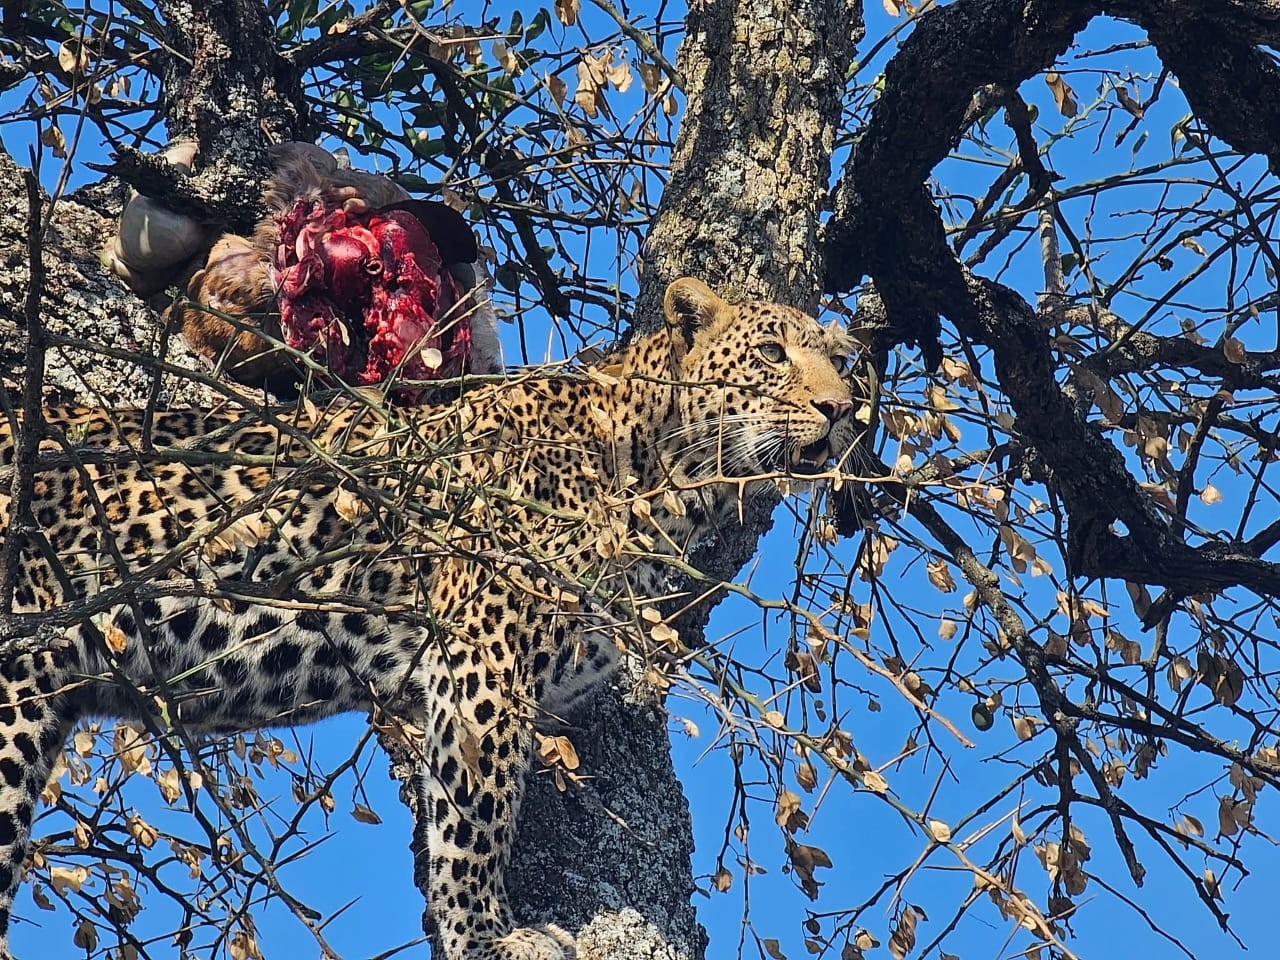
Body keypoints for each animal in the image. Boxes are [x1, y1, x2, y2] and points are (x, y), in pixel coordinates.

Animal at [0, 277, 860, 960]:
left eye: (842, 363)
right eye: (772, 354)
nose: (842, 409)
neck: (662, 480)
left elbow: (456, 803)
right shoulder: (484, 649)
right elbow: (478, 819)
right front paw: (488, 939)